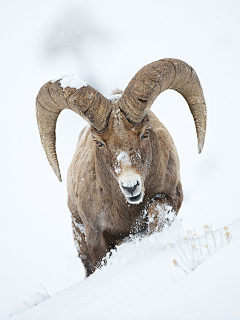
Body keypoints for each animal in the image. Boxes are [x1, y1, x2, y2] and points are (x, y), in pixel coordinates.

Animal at [35, 58, 206, 276]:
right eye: (99, 142)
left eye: (145, 132)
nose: (131, 186)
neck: (128, 210)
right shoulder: (95, 237)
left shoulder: (170, 198)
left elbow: (156, 211)